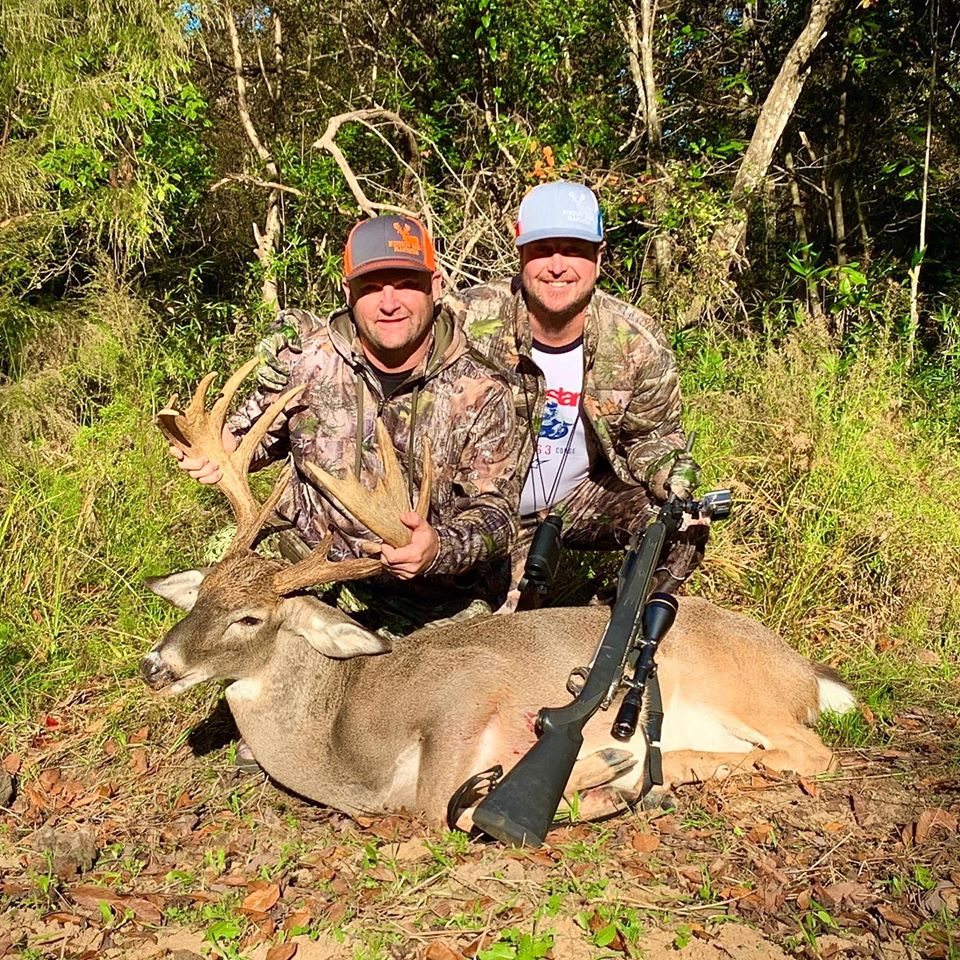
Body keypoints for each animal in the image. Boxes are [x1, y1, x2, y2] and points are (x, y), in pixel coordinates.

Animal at [142, 359, 856, 835]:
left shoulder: (468, 686)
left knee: (809, 752)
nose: (156, 665)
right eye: (199, 598)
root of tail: (806, 673)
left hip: (736, 687)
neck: (340, 739)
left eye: (249, 618)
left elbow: (439, 810)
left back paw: (622, 773)